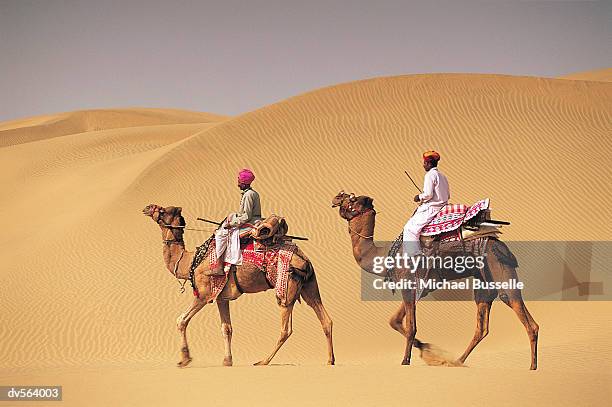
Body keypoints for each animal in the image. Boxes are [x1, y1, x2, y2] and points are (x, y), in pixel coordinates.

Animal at [142, 206, 334, 368]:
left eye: (162, 210)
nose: (146, 208)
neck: (189, 262)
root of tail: (305, 261)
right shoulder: (221, 297)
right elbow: (227, 328)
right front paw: (227, 360)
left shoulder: (204, 294)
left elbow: (181, 320)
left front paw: (184, 359)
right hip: (309, 285)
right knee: (325, 319)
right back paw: (330, 360)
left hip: (285, 286)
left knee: (286, 329)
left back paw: (263, 361)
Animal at [332, 191, 536, 370]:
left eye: (352, 199)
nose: (337, 197)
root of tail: (499, 242)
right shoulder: (416, 287)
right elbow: (395, 321)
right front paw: (426, 349)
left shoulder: (408, 284)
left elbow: (411, 326)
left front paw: (406, 360)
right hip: (484, 280)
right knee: (482, 327)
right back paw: (457, 361)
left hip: (500, 271)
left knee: (522, 314)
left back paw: (532, 366)